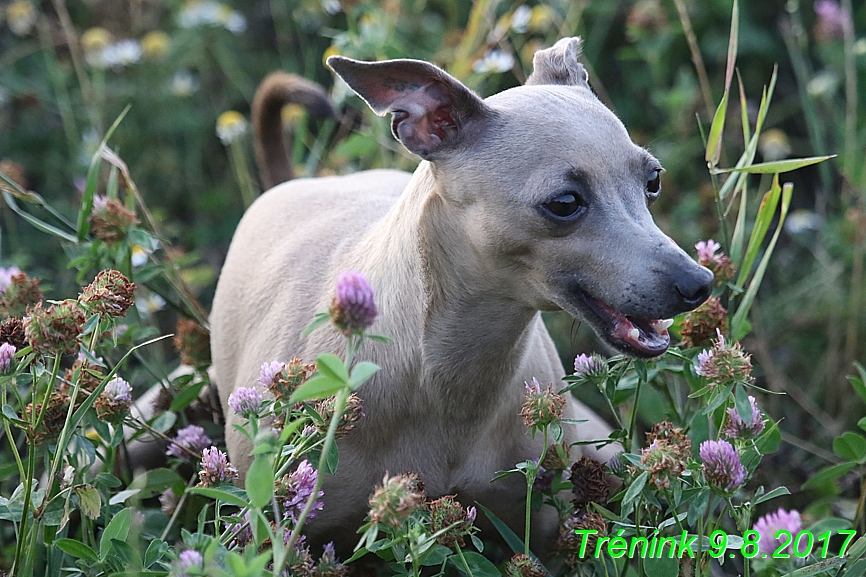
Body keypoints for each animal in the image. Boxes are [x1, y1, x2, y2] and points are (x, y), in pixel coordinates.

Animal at [209, 39, 708, 552]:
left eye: (653, 180)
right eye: (565, 203)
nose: (699, 284)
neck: (441, 379)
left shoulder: (537, 528)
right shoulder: (277, 535)